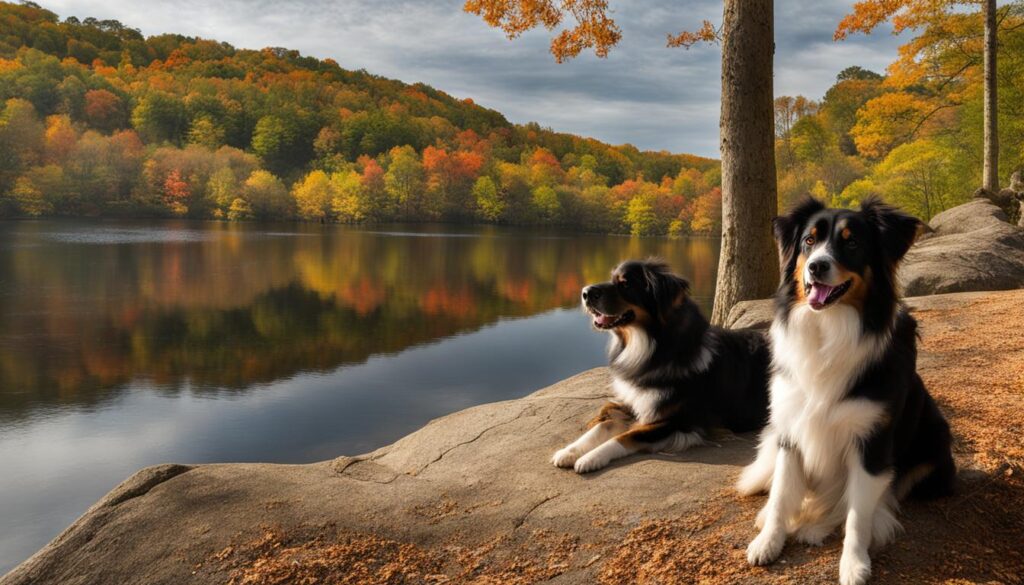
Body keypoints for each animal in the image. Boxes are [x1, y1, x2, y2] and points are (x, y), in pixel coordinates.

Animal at [552, 258, 770, 473]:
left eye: (625, 284)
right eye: (612, 279)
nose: (585, 293)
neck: (653, 348)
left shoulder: (679, 423)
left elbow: (625, 436)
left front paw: (590, 458)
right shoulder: (637, 403)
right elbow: (603, 425)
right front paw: (569, 451)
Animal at [741, 196, 954, 585]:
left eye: (852, 243)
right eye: (809, 241)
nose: (816, 266)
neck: (830, 328)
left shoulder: (871, 440)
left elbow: (858, 512)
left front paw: (854, 564)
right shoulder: (790, 429)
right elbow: (781, 493)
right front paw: (768, 541)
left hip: (935, 446)